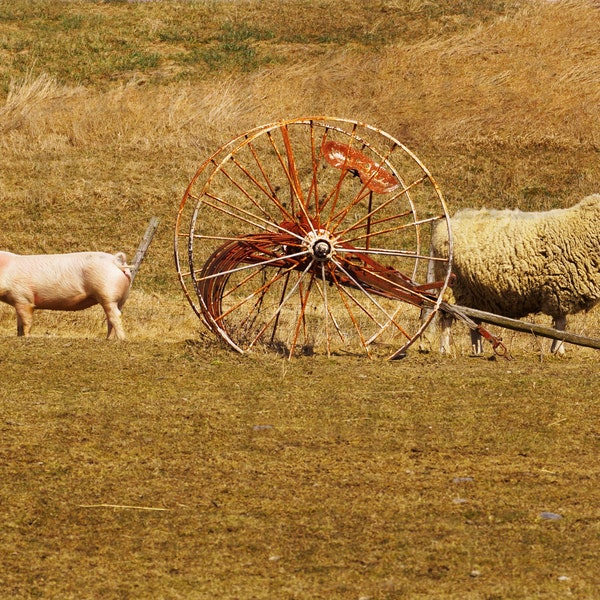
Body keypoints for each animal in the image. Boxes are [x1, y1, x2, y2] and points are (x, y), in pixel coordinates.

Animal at [0, 251, 131, 340]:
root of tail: (115, 260)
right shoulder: (18, 300)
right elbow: (19, 324)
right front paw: (19, 336)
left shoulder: (23, 298)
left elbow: (26, 321)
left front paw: (27, 337)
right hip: (121, 298)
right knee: (111, 318)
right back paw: (108, 339)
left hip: (107, 293)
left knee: (115, 316)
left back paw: (121, 339)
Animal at [426, 192, 600, 354]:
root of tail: (443, 226)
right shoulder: (559, 291)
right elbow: (561, 325)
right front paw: (558, 351)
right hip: (450, 286)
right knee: (447, 317)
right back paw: (445, 350)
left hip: (472, 293)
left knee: (473, 322)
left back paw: (478, 350)